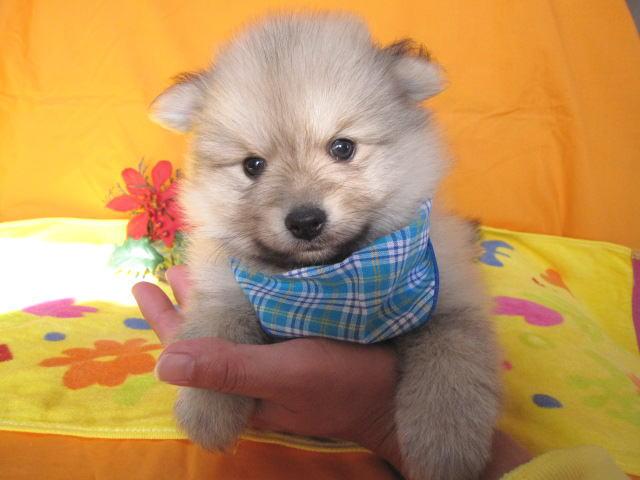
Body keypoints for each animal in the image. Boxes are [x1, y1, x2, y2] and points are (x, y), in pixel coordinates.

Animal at [150, 13, 500, 479]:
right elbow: (216, 329)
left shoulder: (451, 304)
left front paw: (446, 446)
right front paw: (208, 408)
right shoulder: (227, 287)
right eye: (253, 165)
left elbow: (452, 371)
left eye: (342, 147)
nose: (305, 221)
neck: (329, 282)